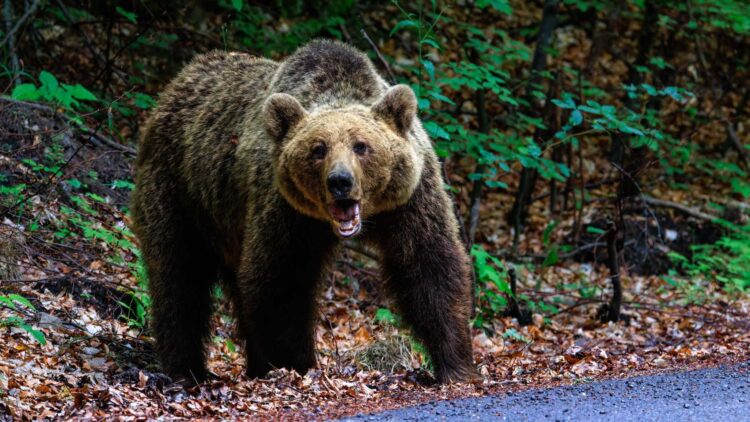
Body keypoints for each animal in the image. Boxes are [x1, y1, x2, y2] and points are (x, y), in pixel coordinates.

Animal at [130, 39, 477, 383]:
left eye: (361, 146)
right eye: (318, 149)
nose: (340, 181)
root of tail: (176, 84)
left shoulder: (410, 199)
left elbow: (429, 265)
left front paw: (455, 364)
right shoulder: (286, 210)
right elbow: (281, 280)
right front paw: (295, 363)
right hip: (179, 192)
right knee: (178, 276)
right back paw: (187, 368)